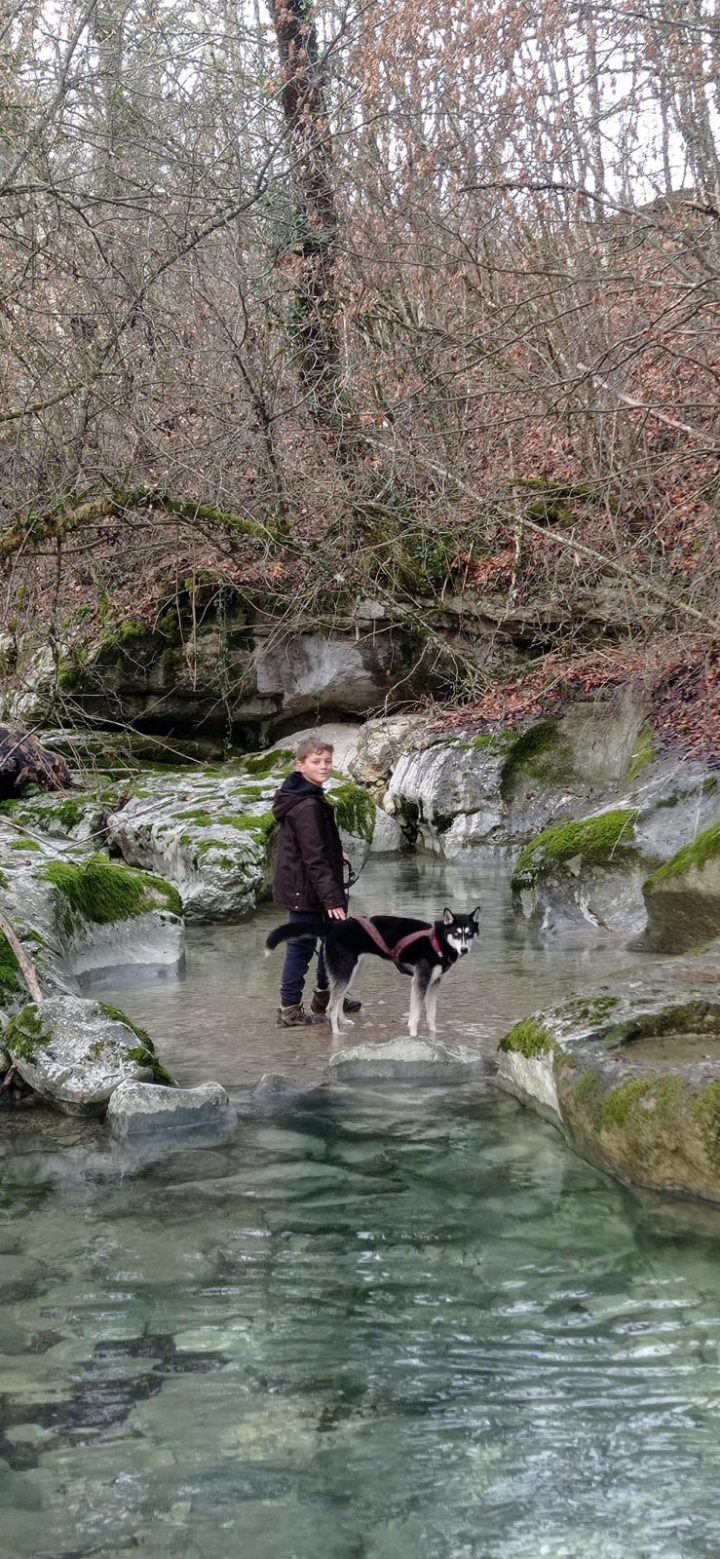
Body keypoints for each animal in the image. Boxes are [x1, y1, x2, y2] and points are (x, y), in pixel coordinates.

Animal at [266, 907, 480, 1038]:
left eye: (469, 934)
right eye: (456, 934)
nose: (464, 950)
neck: (437, 940)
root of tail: (335, 925)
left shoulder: (434, 984)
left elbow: (432, 1014)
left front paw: (434, 1035)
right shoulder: (420, 981)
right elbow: (416, 1014)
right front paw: (414, 1035)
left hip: (350, 973)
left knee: (338, 999)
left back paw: (343, 1021)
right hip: (344, 971)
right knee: (330, 1007)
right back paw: (336, 1033)